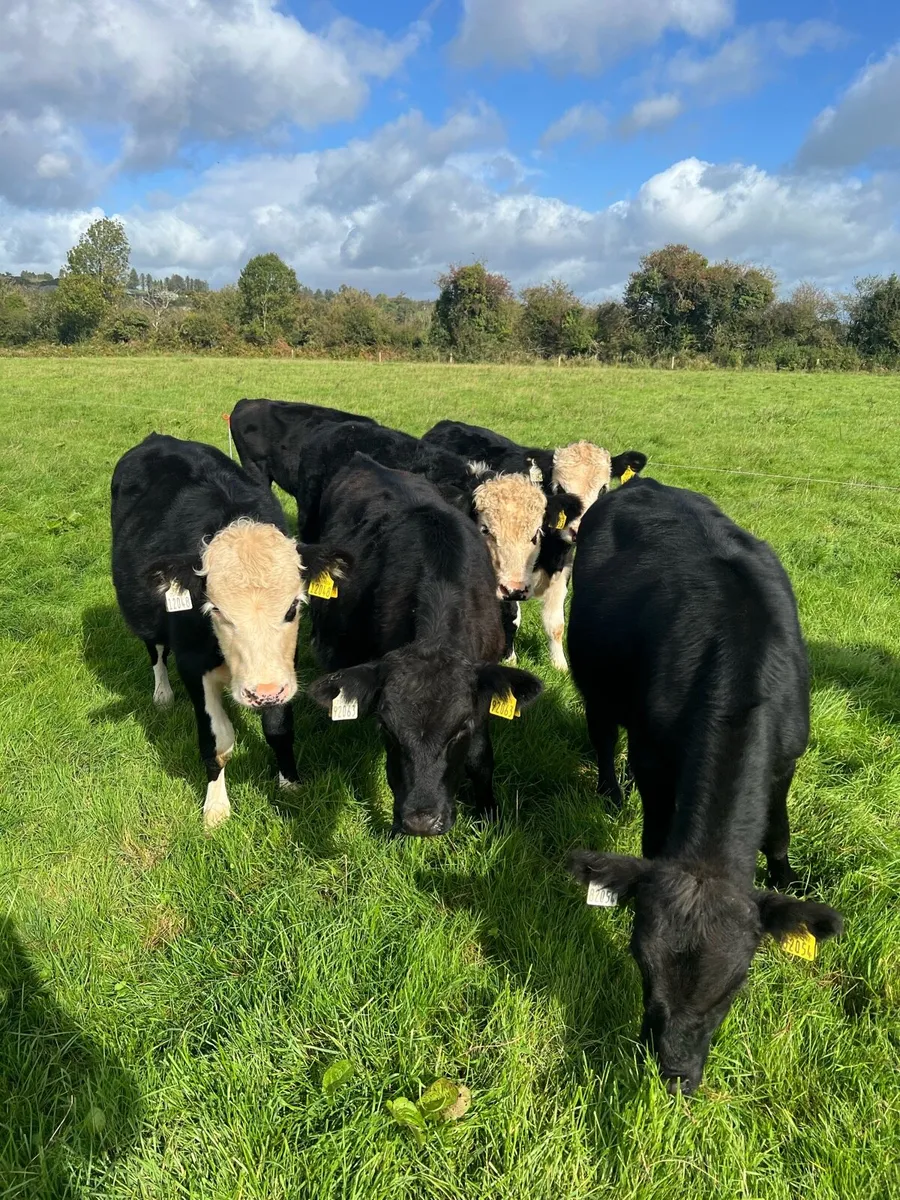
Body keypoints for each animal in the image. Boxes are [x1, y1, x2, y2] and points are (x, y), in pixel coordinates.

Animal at [111, 433, 349, 829]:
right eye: (217, 610)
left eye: (293, 607)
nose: (262, 692)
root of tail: (160, 438)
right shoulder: (192, 666)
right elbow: (218, 742)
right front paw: (216, 808)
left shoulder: (282, 669)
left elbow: (279, 728)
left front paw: (290, 783)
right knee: (155, 650)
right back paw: (162, 693)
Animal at [422, 421, 646, 670]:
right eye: (560, 487)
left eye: (603, 489)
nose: (577, 530)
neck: (549, 549)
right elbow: (511, 615)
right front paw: (509, 659)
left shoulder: (562, 568)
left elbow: (556, 623)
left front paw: (560, 665)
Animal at [565, 477, 843, 1094]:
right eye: (641, 964)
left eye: (735, 984)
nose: (675, 1072)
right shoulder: (653, 757)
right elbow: (652, 835)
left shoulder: (786, 758)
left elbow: (779, 832)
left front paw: (787, 878)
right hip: (595, 682)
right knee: (602, 734)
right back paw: (610, 792)